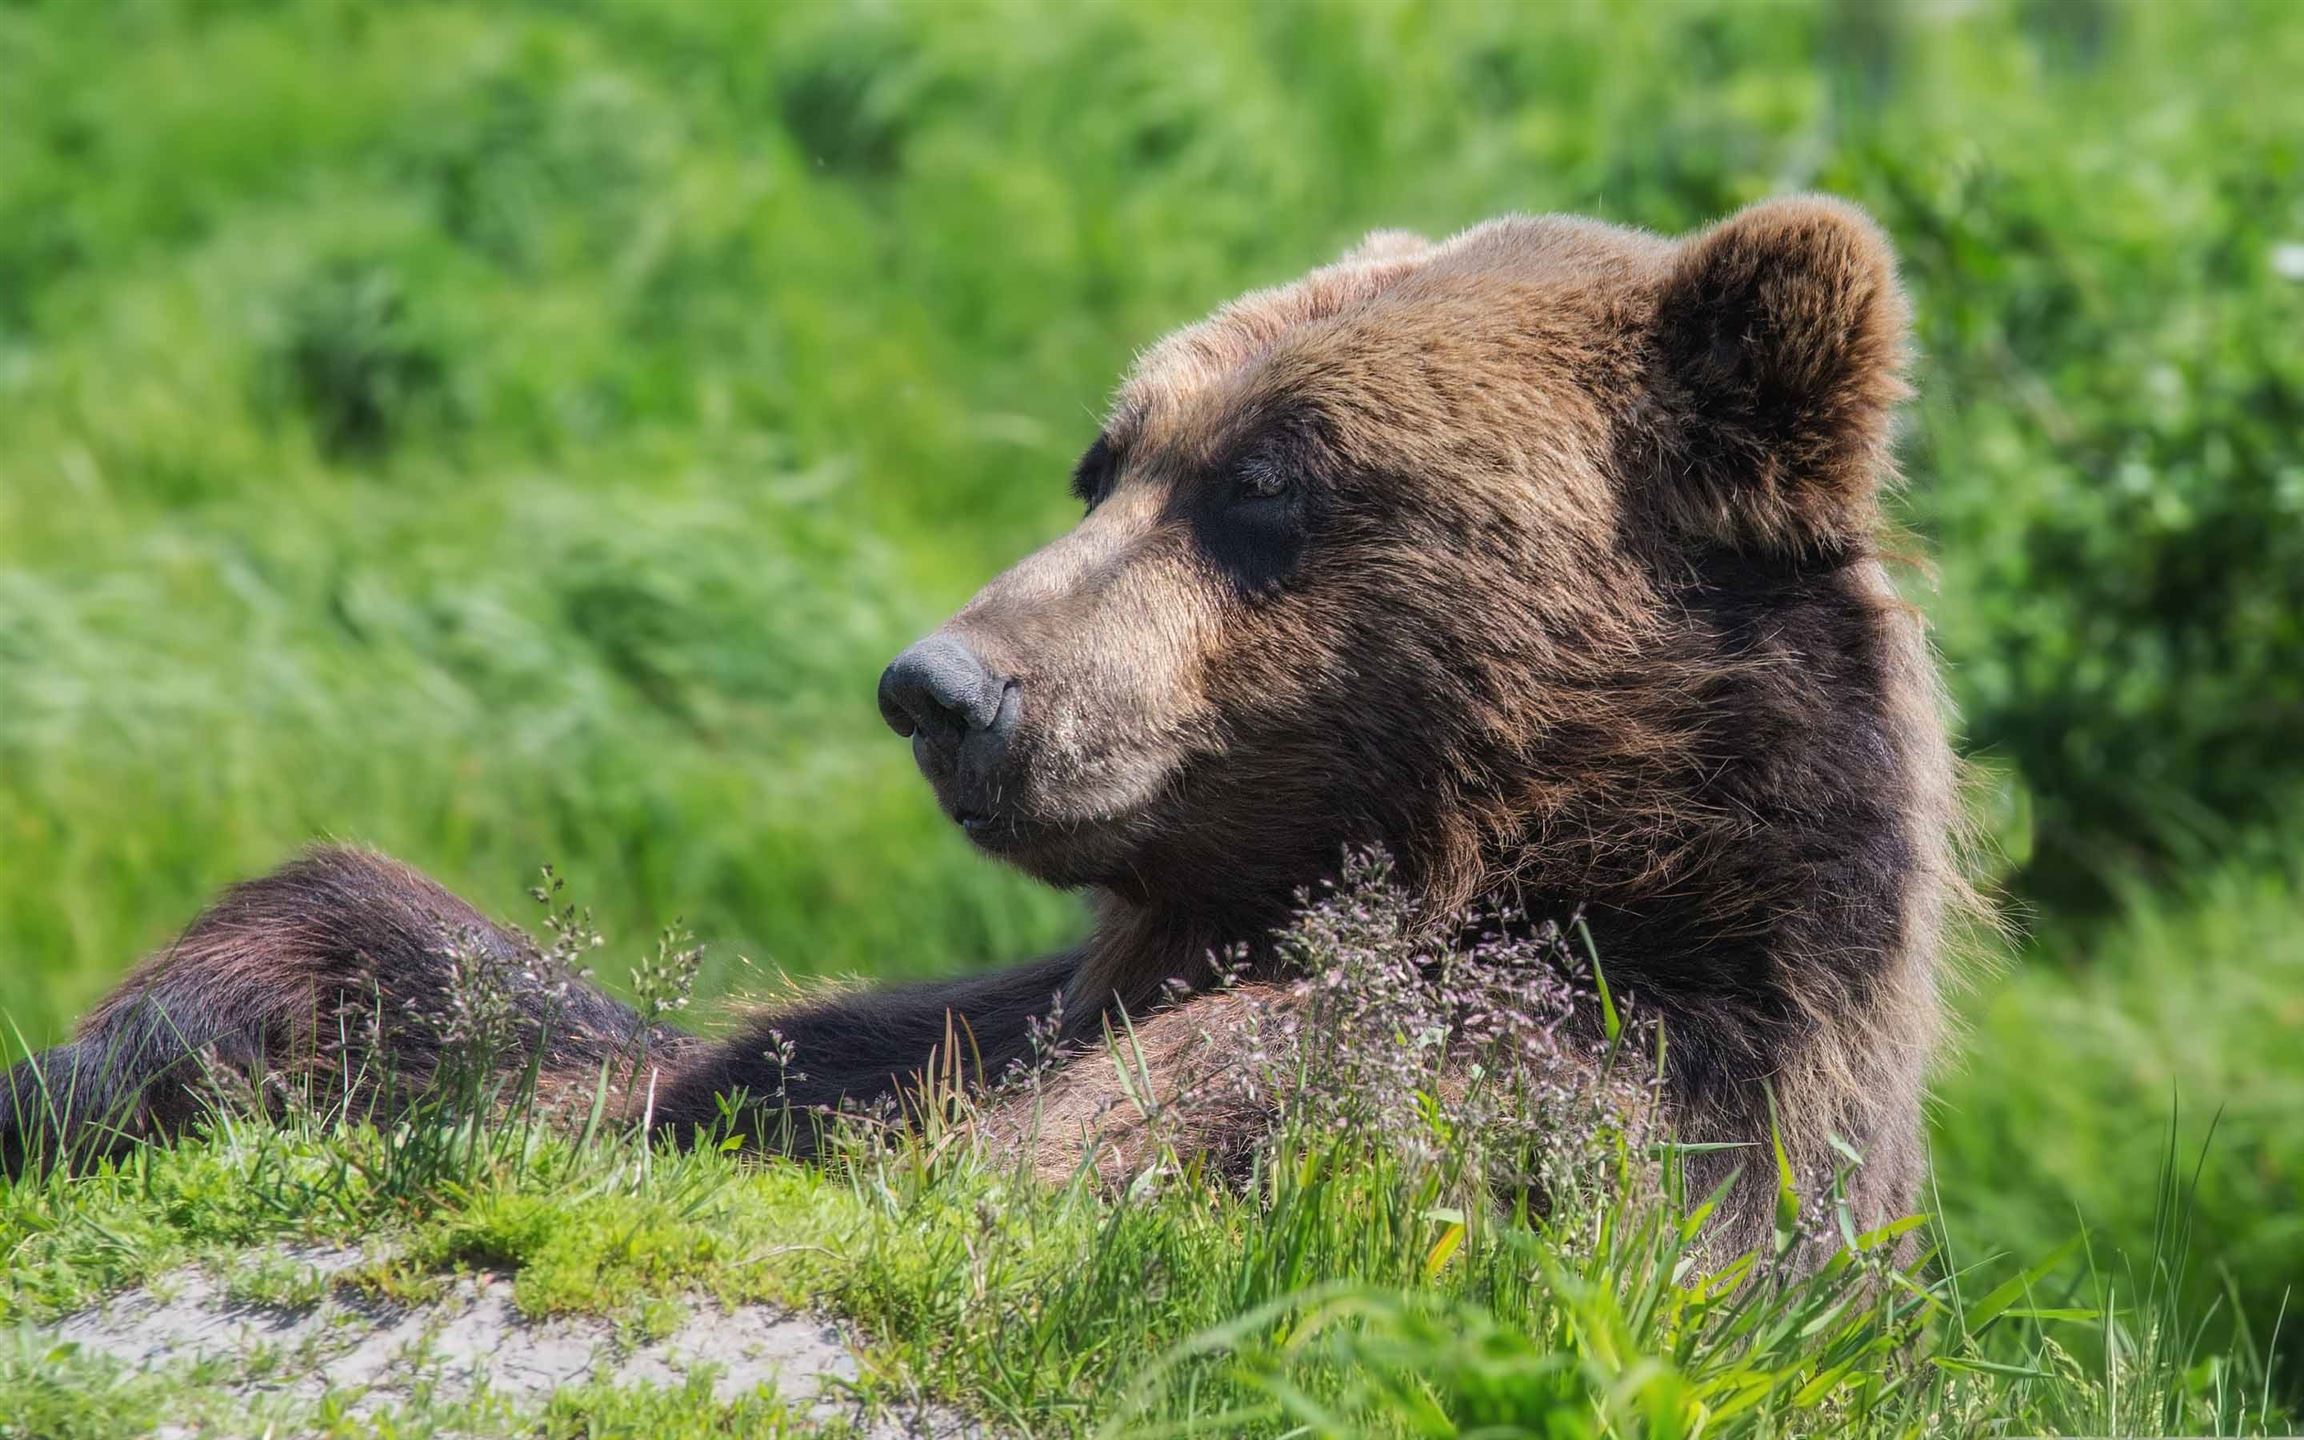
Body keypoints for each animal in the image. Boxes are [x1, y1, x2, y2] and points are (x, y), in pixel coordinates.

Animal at [0, 193, 1963, 1253]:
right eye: (1110, 457)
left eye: (1265, 483)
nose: (941, 688)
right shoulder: (933, 1032)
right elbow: (584, 1052)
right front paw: (115, 1064)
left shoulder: (1550, 1077)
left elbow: (1060, 1171)